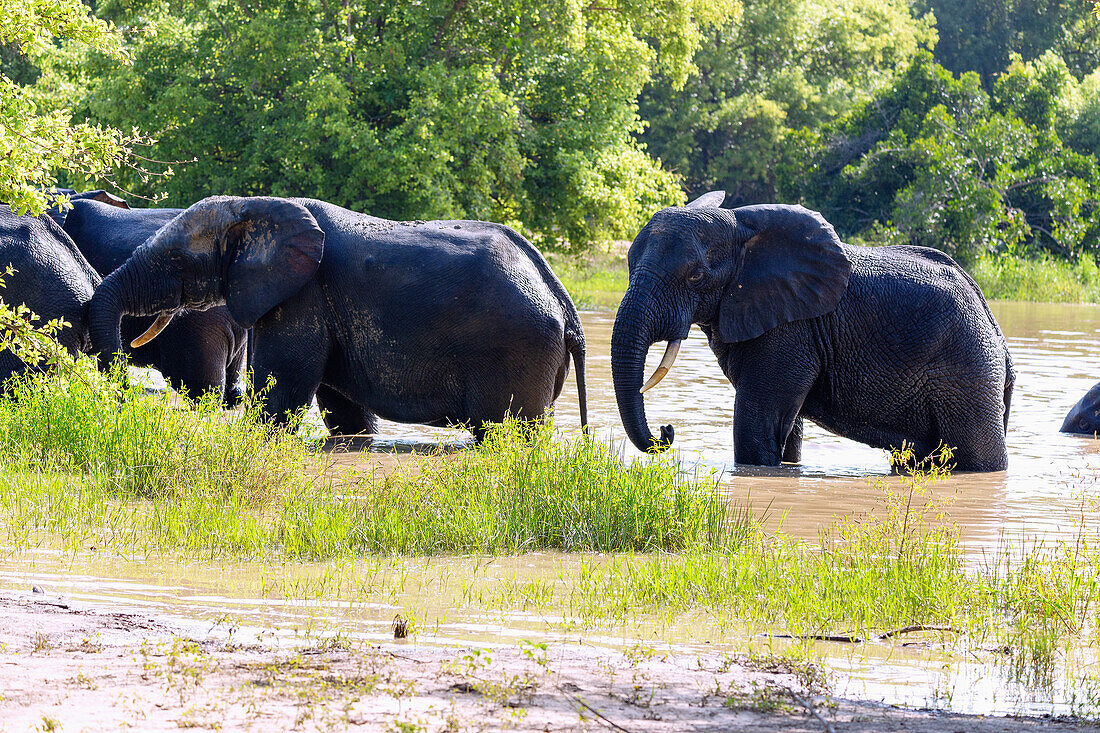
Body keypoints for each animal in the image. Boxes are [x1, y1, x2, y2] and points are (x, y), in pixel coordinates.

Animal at [611, 191, 1012, 471]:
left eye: (695, 276)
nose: (666, 430)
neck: (738, 226)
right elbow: (786, 432)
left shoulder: (791, 330)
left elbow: (756, 428)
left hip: (968, 371)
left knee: (978, 453)